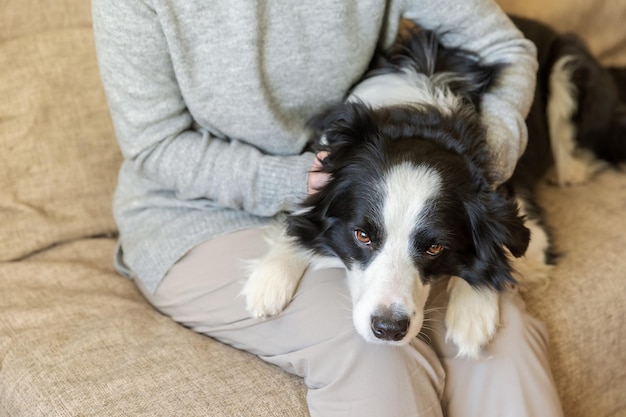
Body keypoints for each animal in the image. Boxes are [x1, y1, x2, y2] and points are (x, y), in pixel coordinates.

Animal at [240, 16, 624, 356]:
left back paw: (569, 169)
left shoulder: (529, 228)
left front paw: (472, 312)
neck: (420, 122)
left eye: (435, 248)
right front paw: (271, 274)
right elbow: (302, 218)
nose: (388, 329)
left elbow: (497, 255)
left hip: (568, 61)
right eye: (361, 236)